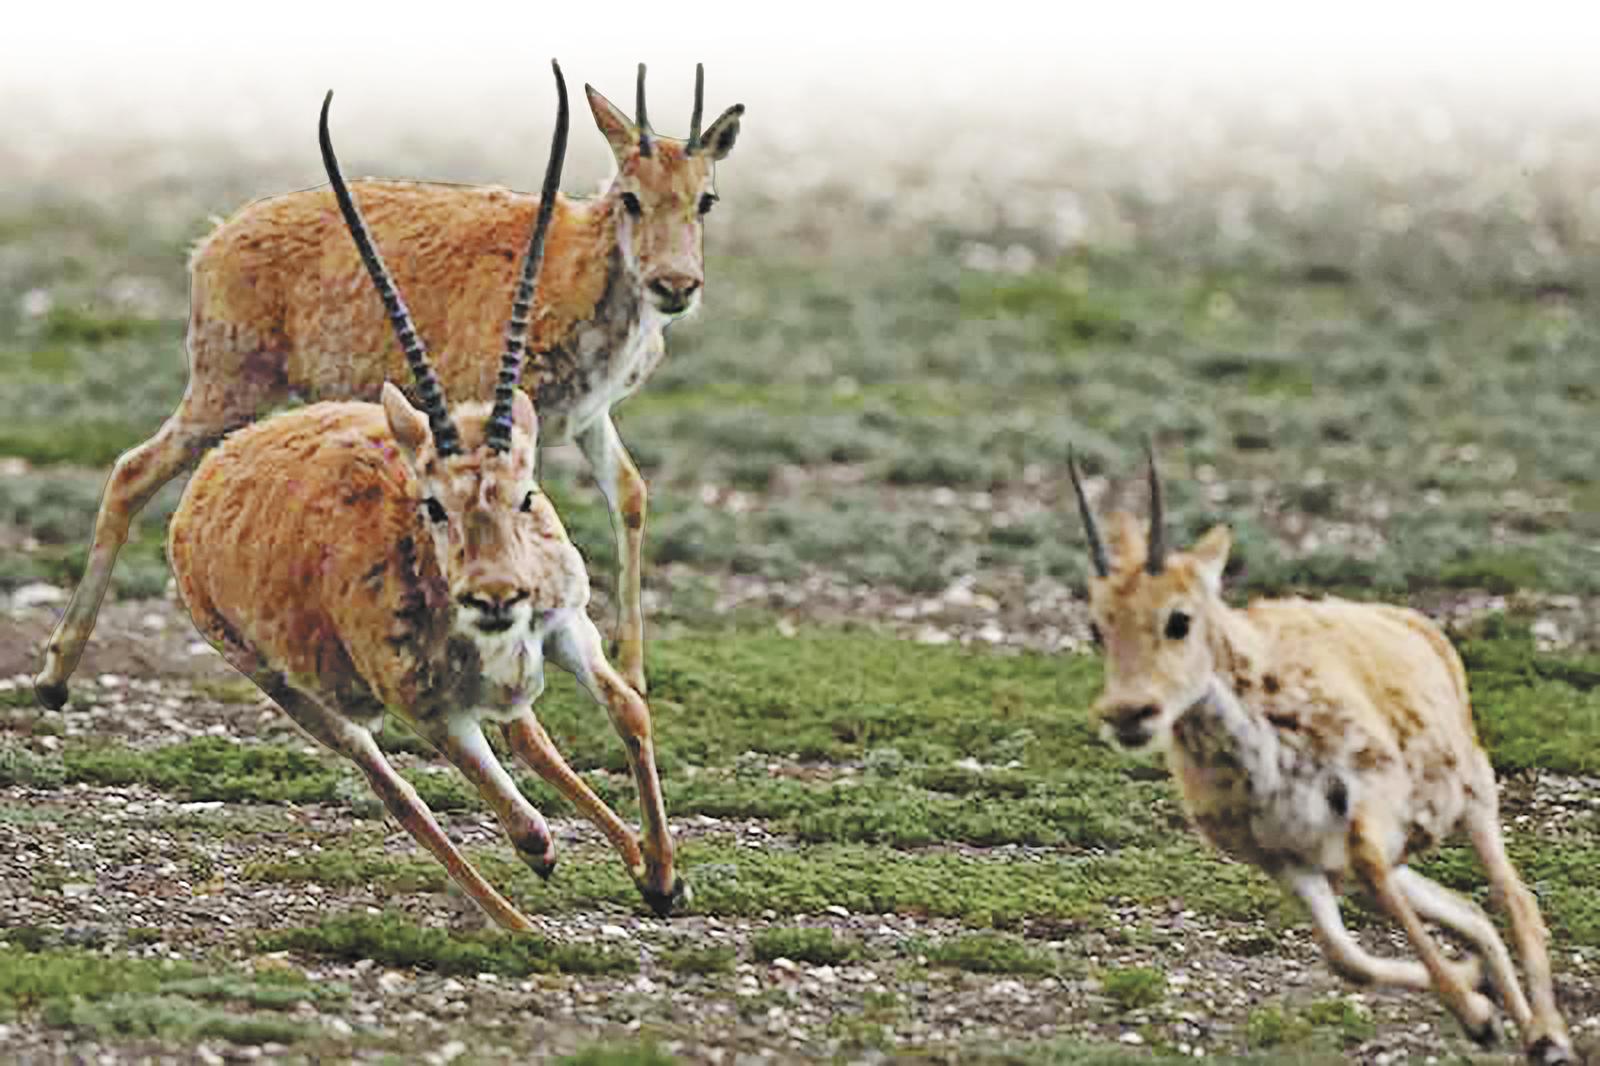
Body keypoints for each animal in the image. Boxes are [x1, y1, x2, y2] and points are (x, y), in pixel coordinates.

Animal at [35, 59, 745, 711]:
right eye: (630, 196)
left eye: (705, 199)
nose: (676, 285)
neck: (577, 263)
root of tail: (212, 242)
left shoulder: (588, 417)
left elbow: (630, 494)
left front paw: (634, 673)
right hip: (227, 393)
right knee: (132, 470)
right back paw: (53, 676)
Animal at [162, 62, 686, 926]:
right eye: (432, 504)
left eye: (528, 494)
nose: (495, 597)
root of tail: (219, 468)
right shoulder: (433, 712)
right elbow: (500, 800)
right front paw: (554, 856)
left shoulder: (566, 625)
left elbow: (628, 710)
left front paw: (664, 876)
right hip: (296, 692)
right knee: (398, 794)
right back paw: (517, 920)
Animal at [1068, 446, 1574, 1064]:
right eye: (1097, 627)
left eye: (1178, 618)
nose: (1127, 713)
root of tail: (1418, 626)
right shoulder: (1290, 860)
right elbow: (1343, 957)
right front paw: (1477, 1001)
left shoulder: (1368, 802)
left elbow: (1371, 876)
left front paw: (1477, 1015)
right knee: (1470, 912)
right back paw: (1515, 1018)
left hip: (1475, 802)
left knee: (1514, 898)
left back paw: (1548, 1035)